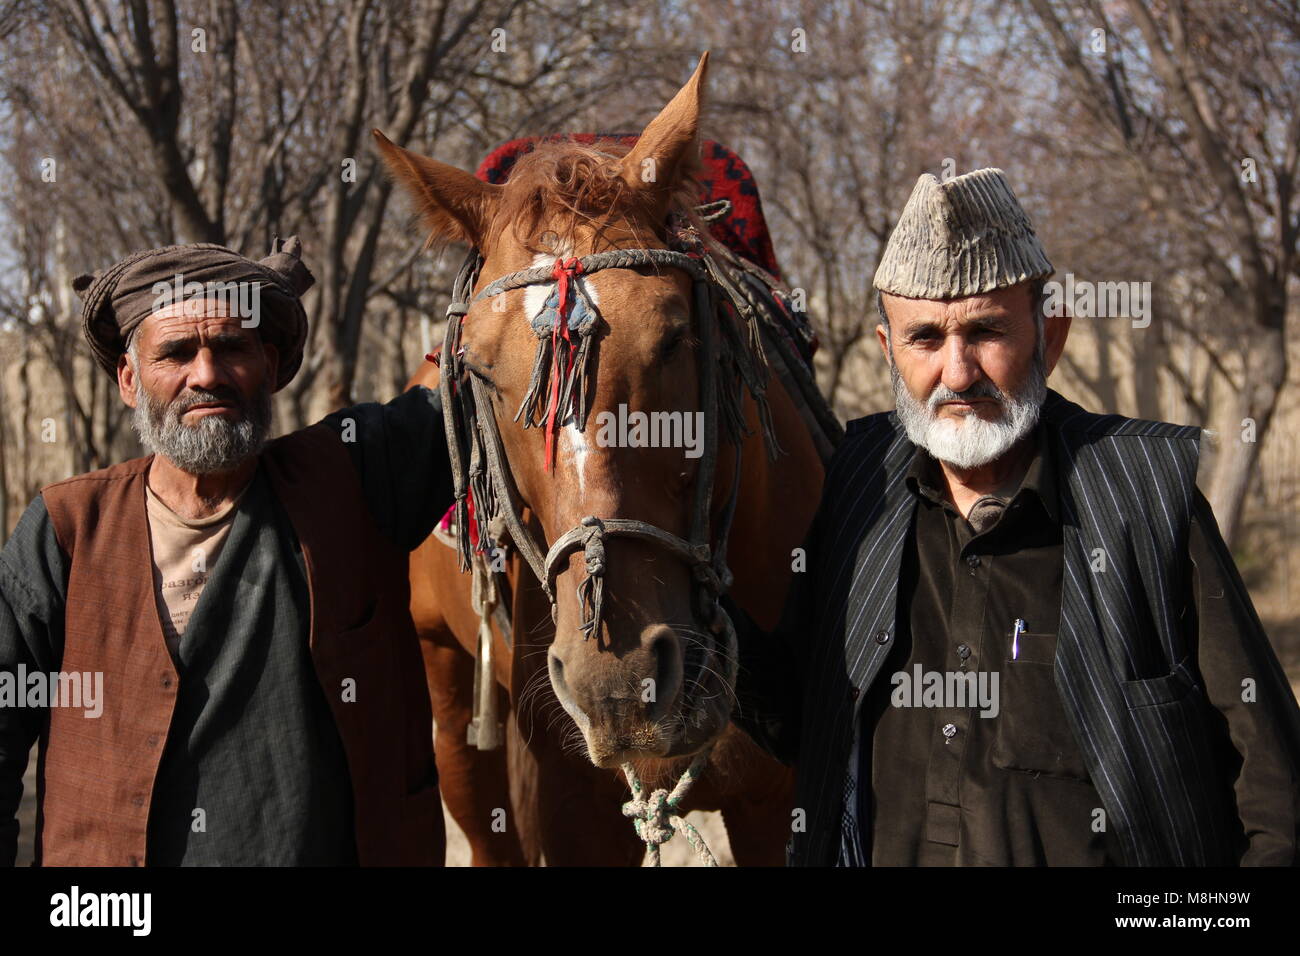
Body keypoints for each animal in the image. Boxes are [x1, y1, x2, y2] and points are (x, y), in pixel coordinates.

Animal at [379, 55, 837, 868]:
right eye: (482, 372)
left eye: (676, 335)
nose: (616, 681)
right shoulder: (570, 815)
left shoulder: (776, 802)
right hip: (453, 724)